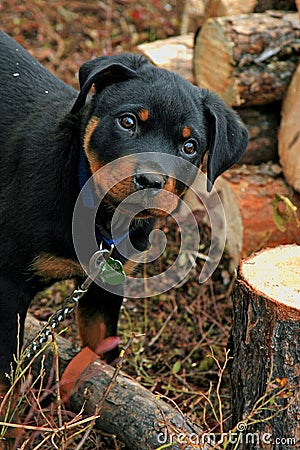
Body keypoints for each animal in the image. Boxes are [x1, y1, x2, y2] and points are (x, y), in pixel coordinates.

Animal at [0, 31, 248, 402]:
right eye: (127, 122)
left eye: (189, 146)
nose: (150, 180)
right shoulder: (9, 283)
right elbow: (7, 374)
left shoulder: (105, 287)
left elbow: (100, 350)